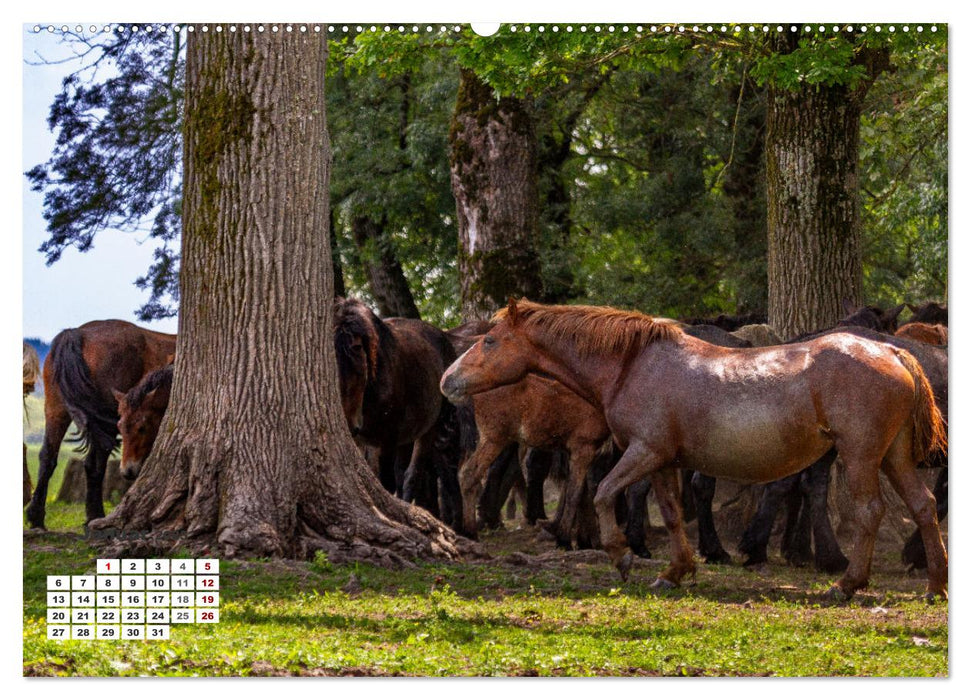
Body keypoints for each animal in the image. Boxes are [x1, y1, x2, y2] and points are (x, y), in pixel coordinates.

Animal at [23, 320, 177, 528]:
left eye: (142, 428)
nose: (128, 471)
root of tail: (77, 333)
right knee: (94, 464)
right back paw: (95, 515)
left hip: (56, 410)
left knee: (48, 457)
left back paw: (36, 517)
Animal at [332, 296, 462, 524]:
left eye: (358, 370)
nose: (349, 423)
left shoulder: (388, 437)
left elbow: (387, 480)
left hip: (428, 429)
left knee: (411, 475)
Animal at [446, 298, 948, 600]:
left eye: (489, 340)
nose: (447, 380)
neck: (632, 364)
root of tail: (893, 353)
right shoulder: (663, 461)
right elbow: (670, 513)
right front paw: (675, 571)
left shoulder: (643, 452)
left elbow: (604, 494)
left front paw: (622, 555)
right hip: (893, 457)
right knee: (923, 505)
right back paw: (935, 585)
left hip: (861, 456)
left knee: (870, 511)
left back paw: (846, 584)